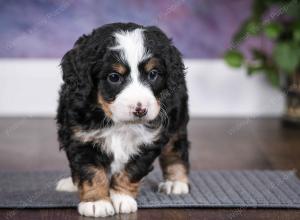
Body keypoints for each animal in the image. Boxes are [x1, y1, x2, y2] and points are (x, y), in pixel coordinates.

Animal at [55, 22, 190, 217]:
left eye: (153, 74)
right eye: (114, 77)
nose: (140, 109)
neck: (118, 123)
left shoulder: (149, 140)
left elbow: (132, 170)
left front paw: (121, 197)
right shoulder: (81, 138)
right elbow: (91, 171)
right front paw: (96, 202)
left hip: (176, 118)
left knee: (176, 149)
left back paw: (176, 182)